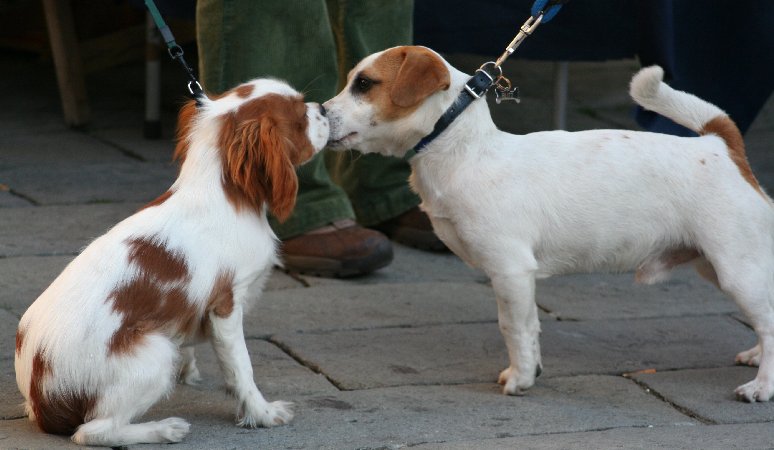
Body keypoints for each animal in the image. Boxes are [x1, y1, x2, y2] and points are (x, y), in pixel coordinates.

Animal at [15, 79, 330, 444]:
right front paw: (262, 413)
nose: (323, 109)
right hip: (154, 353)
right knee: (93, 432)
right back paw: (164, 429)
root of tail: (42, 402)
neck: (220, 192)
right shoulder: (226, 306)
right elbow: (241, 368)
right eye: (300, 117)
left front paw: (189, 370)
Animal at [324, 45, 774, 402]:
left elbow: (514, 328)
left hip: (735, 269)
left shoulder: (510, 271)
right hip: (716, 265)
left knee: (768, 321)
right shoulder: (518, 280)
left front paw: (521, 380)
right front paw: (529, 370)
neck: (466, 153)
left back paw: (762, 385)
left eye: (364, 84)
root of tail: (721, 145)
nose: (319, 112)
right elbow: (531, 328)